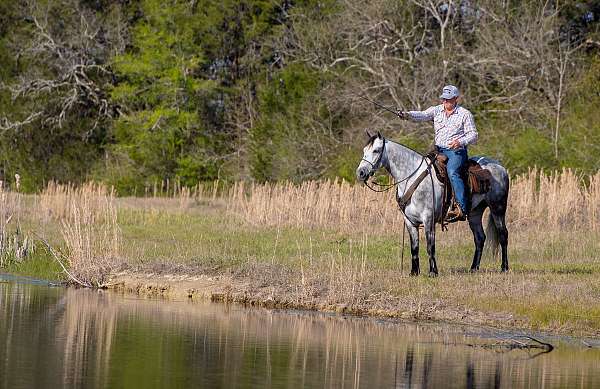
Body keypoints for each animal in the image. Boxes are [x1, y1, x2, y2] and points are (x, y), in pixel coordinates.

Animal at [356, 132, 510, 274]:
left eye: (376, 150)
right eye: (364, 150)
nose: (361, 173)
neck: (412, 178)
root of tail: (500, 167)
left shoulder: (428, 218)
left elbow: (430, 245)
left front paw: (433, 272)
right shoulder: (409, 221)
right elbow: (414, 247)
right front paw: (414, 272)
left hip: (498, 208)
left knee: (503, 235)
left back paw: (504, 267)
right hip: (475, 213)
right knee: (479, 238)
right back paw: (473, 268)